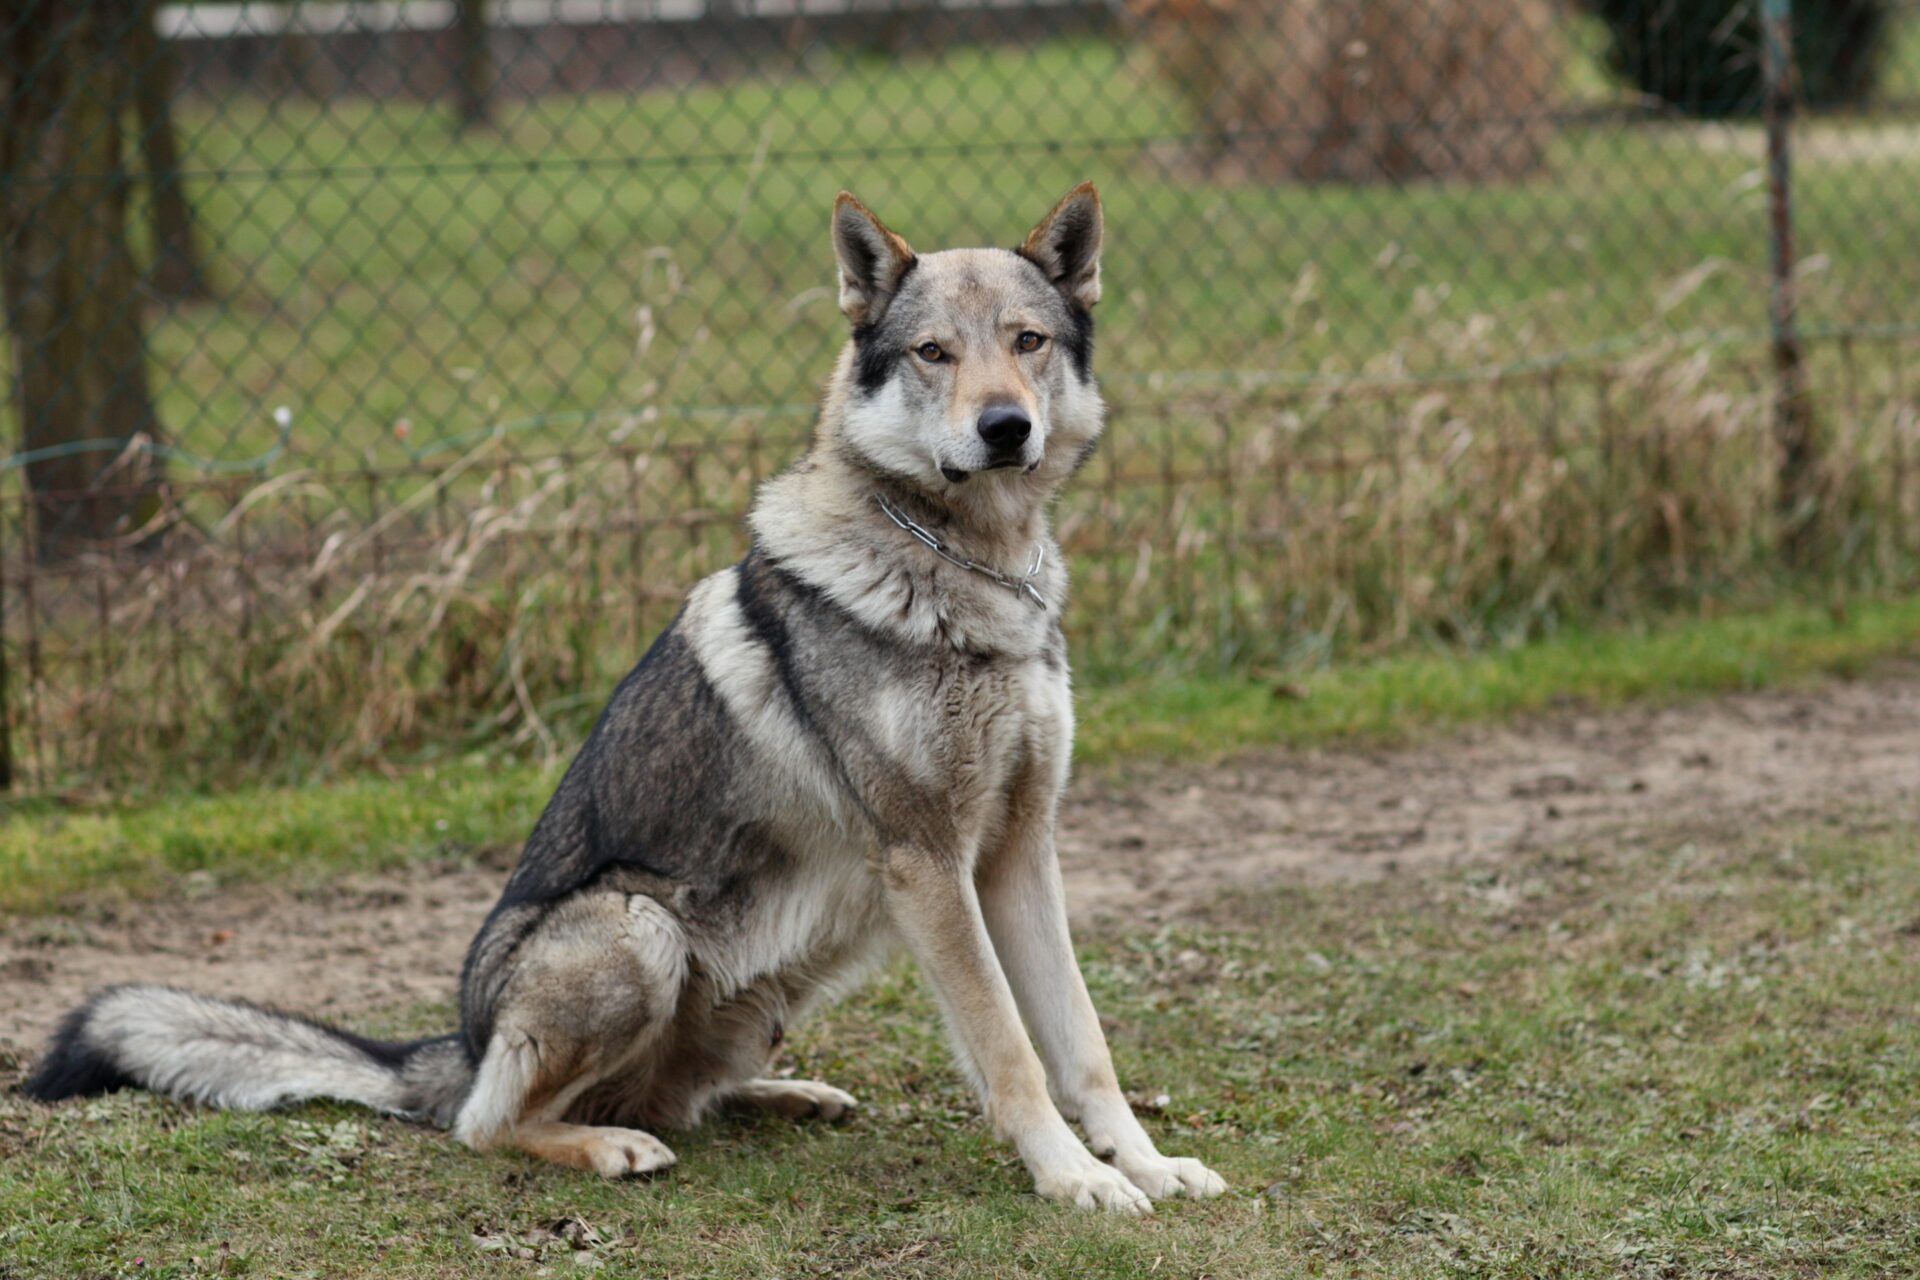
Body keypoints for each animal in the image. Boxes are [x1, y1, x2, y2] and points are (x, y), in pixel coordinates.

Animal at [25, 184, 1226, 1214]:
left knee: (678, 1093)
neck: (967, 574)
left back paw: (789, 1097)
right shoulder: (928, 862)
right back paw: (609, 1145)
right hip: (636, 930)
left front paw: (1146, 1165)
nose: (1005, 428)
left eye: (1026, 342)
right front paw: (1074, 1181)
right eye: (935, 353)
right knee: (490, 1122)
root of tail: (458, 1040)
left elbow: (1082, 1042)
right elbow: (1013, 1050)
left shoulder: (1020, 848)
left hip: (769, 997)